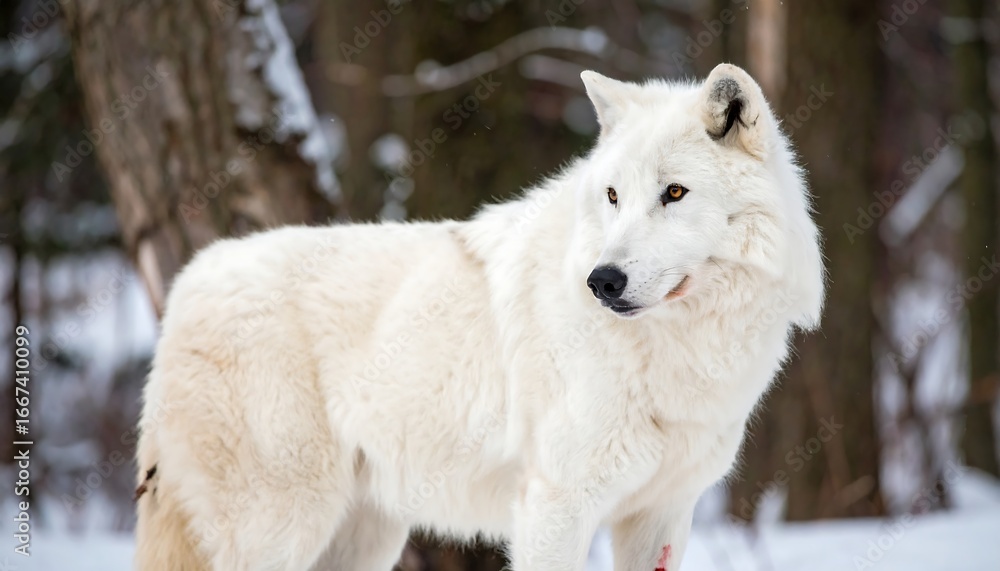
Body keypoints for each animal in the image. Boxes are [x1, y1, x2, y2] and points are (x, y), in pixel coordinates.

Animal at [134, 63, 824, 571]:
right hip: (283, 528)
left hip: (361, 538)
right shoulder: (555, 506)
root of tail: (189, 282)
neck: (678, 350)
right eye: (613, 196)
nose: (602, 281)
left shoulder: (662, 513)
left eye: (674, 193)